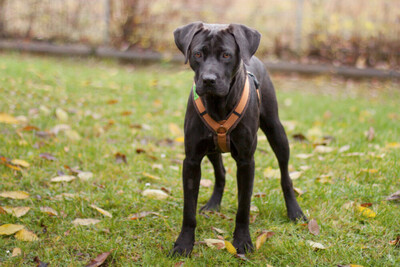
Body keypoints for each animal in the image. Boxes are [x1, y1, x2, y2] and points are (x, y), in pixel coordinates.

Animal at [170, 22, 306, 258]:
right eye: (197, 54)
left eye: (226, 55)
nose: (208, 80)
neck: (218, 104)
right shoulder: (192, 160)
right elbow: (189, 210)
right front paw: (184, 244)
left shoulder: (246, 161)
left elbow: (243, 207)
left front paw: (242, 241)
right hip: (212, 149)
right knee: (221, 173)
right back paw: (213, 205)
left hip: (276, 132)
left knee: (285, 175)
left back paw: (294, 211)